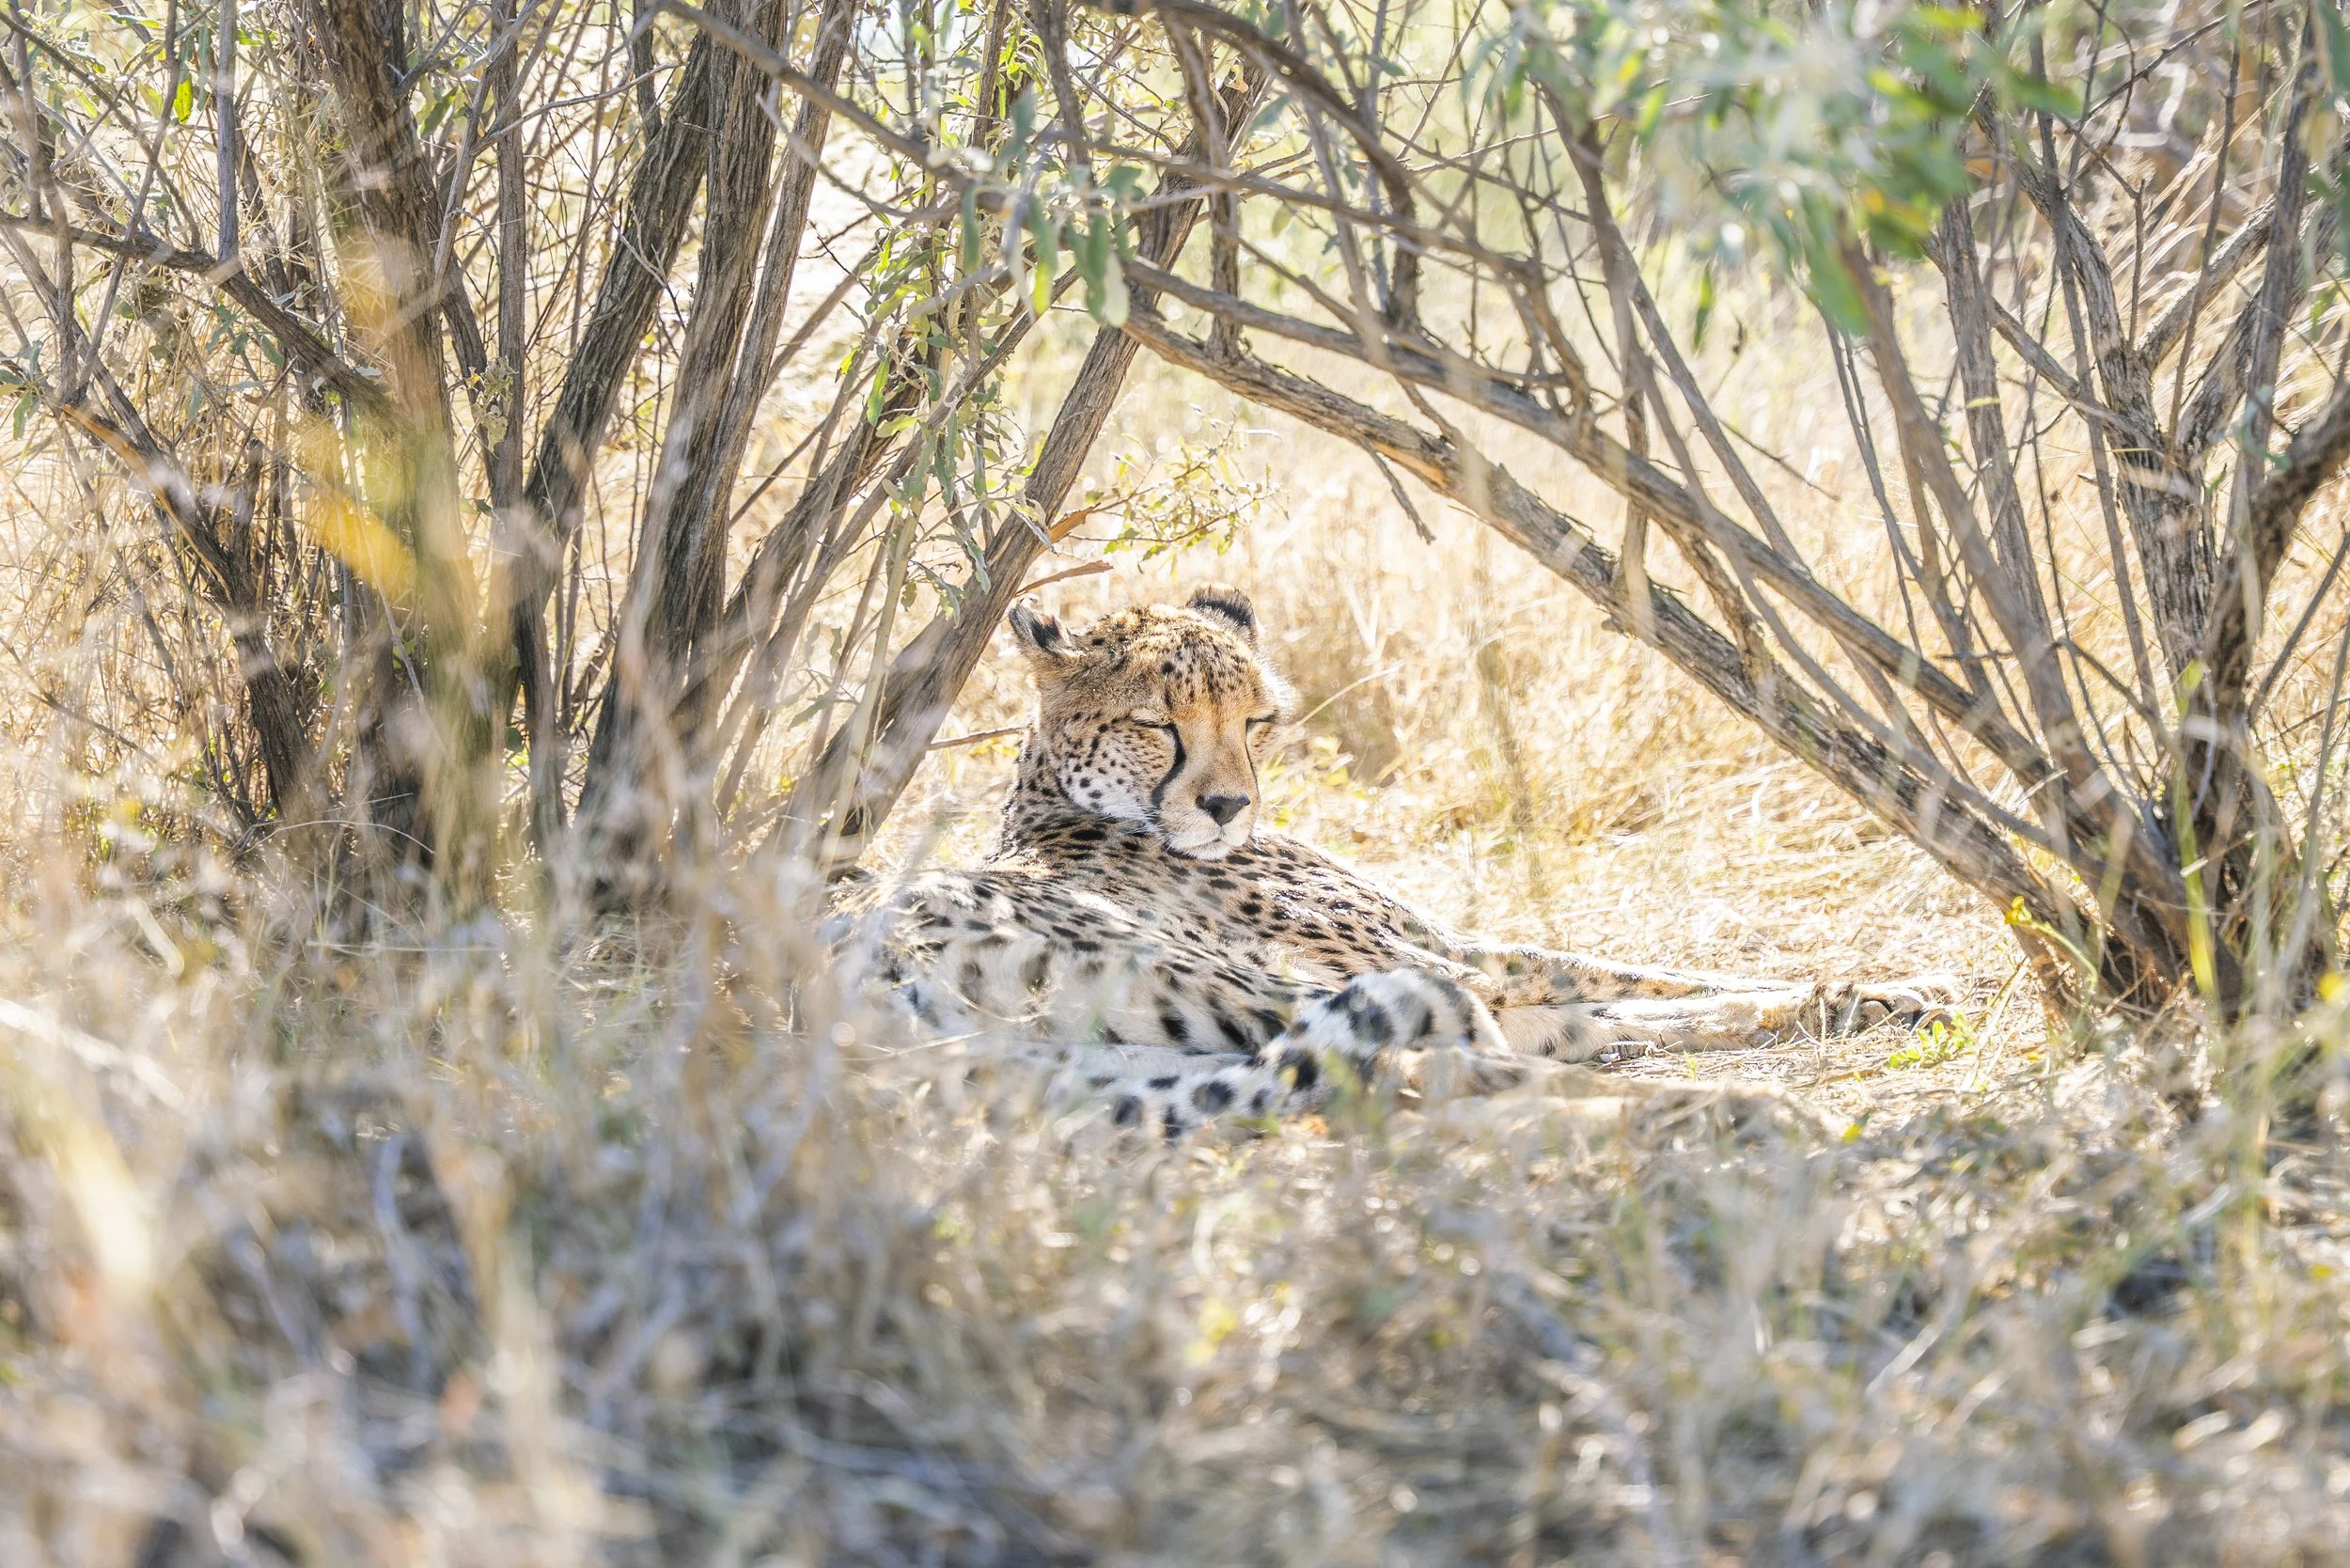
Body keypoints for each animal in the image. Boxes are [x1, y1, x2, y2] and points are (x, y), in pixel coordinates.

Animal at [832, 584, 1960, 1136]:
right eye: (1157, 724)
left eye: (1256, 719)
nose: (1229, 804)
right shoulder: (1430, 957)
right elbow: (1621, 985)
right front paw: (1876, 993)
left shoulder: (1445, 956)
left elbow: (1639, 993)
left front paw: (1869, 994)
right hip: (1243, 989)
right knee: (1447, 1066)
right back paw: (1749, 1112)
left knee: (1408, 1077)